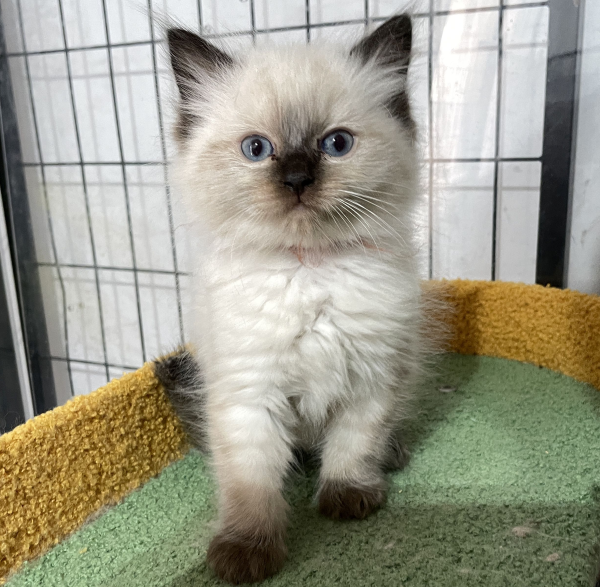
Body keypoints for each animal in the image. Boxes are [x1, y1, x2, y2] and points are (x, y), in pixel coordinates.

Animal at [161, 13, 426, 584]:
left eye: (337, 144)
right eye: (257, 149)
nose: (298, 178)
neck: (310, 270)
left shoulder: (373, 379)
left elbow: (353, 446)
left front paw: (348, 497)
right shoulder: (249, 395)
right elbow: (251, 483)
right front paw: (246, 553)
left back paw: (390, 455)